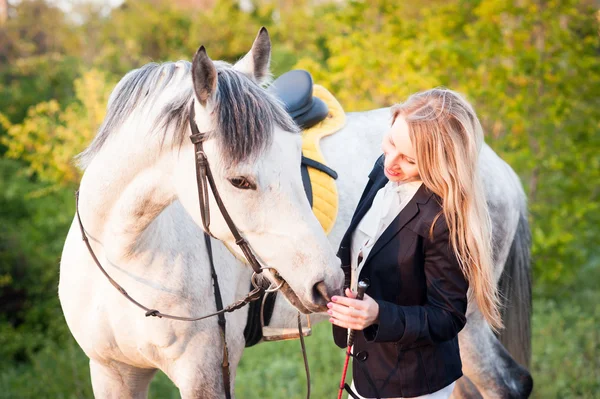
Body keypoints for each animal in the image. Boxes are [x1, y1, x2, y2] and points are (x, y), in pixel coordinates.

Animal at [59, 28, 346, 399]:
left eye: (296, 157)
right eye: (239, 181)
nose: (330, 284)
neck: (123, 255)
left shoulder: (204, 376)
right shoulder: (112, 372)